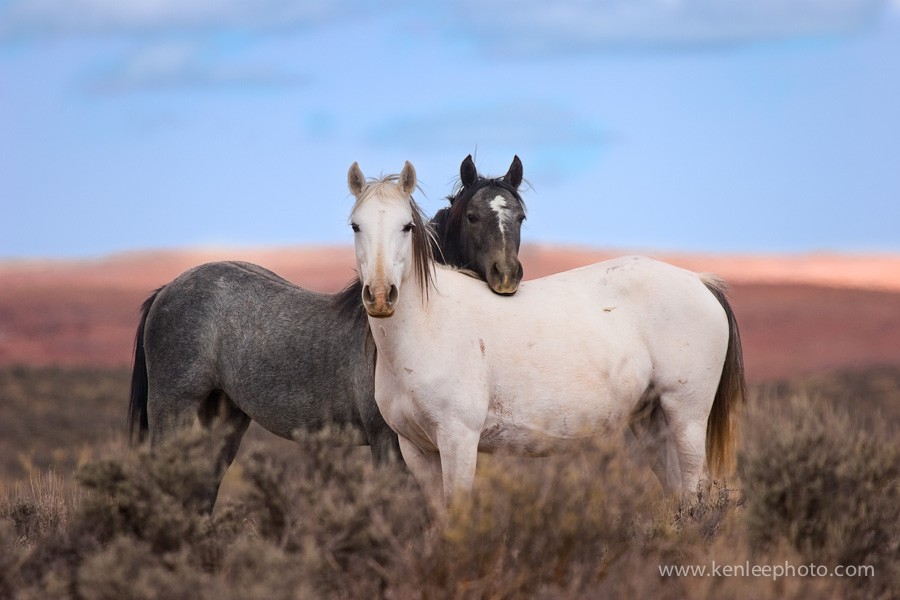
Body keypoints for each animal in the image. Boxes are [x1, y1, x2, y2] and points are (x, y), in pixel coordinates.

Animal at [123, 156, 524, 510]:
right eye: (472, 216)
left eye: (520, 216)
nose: (506, 276)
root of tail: (167, 289)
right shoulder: (388, 443)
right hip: (173, 409)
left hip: (223, 416)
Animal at [344, 161, 744, 506]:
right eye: (355, 226)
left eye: (406, 226)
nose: (379, 295)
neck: (426, 327)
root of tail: (699, 281)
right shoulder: (416, 450)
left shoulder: (458, 441)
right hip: (652, 421)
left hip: (687, 418)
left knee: (695, 492)